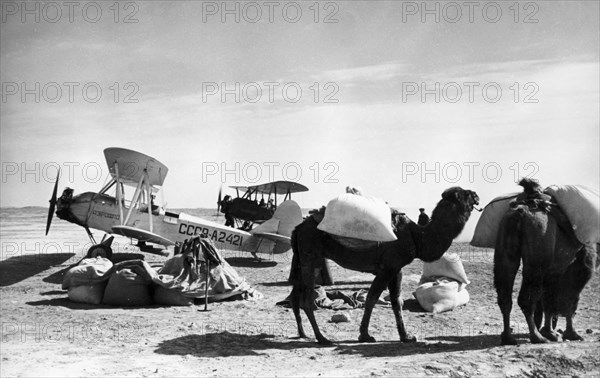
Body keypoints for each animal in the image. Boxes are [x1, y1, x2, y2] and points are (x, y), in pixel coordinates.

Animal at [288, 187, 480, 346]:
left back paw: (303, 333)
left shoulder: (397, 269)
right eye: (466, 194)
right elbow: (372, 298)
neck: (417, 236)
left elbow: (397, 301)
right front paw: (365, 335)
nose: (477, 194)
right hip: (311, 257)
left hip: (302, 259)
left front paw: (406, 337)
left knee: (295, 295)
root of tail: (298, 228)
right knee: (306, 300)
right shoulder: (387, 268)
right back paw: (322, 338)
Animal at [492, 179, 596, 344]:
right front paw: (570, 334)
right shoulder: (578, 267)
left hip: (505, 243)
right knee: (526, 298)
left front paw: (551, 332)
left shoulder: (555, 269)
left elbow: (549, 299)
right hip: (538, 250)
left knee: (505, 293)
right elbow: (568, 299)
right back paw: (536, 336)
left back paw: (508, 337)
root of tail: (520, 212)